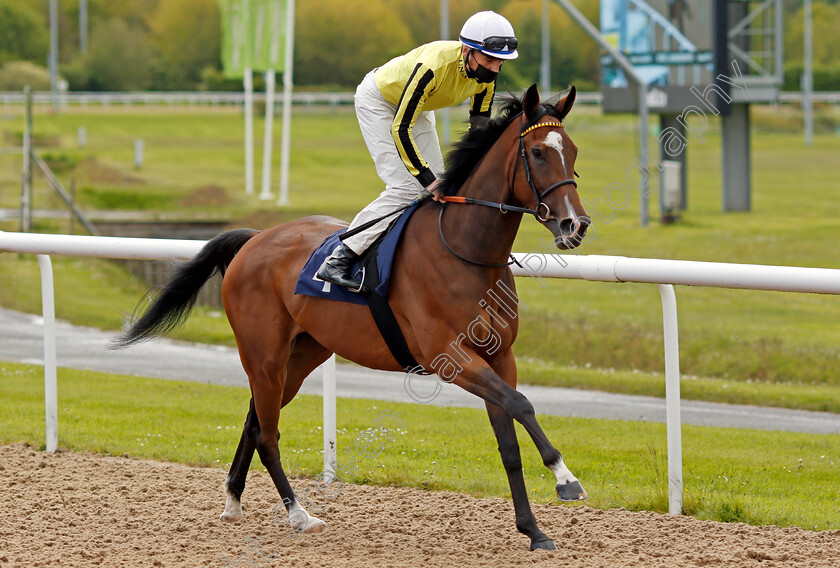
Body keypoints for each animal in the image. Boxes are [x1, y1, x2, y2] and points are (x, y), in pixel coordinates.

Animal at [115, 83, 592, 552]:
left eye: (572, 150)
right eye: (538, 152)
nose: (576, 224)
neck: (466, 250)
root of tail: (254, 239)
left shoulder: (499, 356)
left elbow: (509, 440)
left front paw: (533, 530)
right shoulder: (451, 359)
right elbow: (522, 404)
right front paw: (566, 479)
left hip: (301, 355)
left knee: (254, 421)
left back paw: (234, 500)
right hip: (263, 356)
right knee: (268, 434)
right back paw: (300, 515)